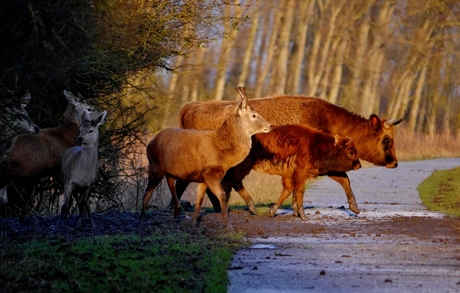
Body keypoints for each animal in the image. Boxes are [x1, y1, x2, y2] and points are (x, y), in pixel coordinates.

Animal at [0, 90, 101, 218]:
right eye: (89, 108)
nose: (103, 118)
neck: (67, 136)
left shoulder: (38, 172)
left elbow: (29, 197)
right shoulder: (62, 170)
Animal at [140, 86, 270, 228]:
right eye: (254, 115)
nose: (269, 126)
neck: (222, 153)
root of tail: (150, 143)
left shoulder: (202, 177)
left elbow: (199, 201)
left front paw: (192, 224)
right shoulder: (209, 172)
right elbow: (222, 195)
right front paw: (228, 224)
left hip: (170, 169)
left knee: (170, 182)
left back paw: (176, 211)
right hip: (154, 165)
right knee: (147, 192)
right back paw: (141, 218)